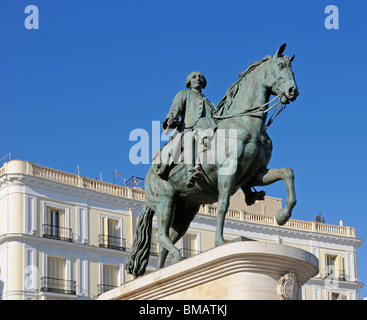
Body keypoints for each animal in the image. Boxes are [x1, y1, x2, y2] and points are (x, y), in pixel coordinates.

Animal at [126, 43, 300, 278]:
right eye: (280, 66)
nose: (293, 91)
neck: (245, 123)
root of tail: (147, 177)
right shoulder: (228, 171)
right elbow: (223, 206)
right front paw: (220, 242)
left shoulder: (255, 174)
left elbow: (287, 172)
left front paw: (282, 216)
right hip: (165, 200)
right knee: (161, 234)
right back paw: (177, 257)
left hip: (184, 212)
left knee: (165, 241)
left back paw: (162, 271)